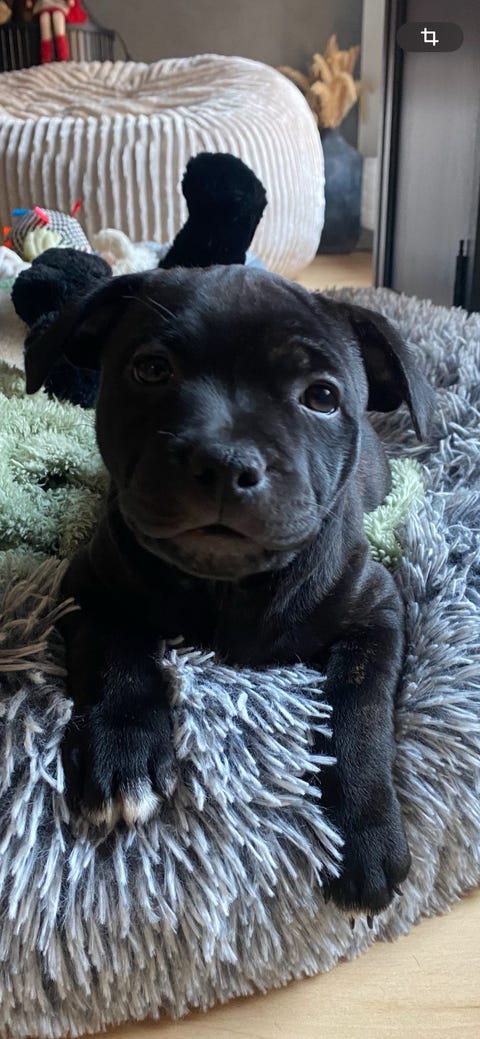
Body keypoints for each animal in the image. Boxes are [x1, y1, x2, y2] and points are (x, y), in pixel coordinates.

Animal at [24, 264, 434, 915]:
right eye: (152, 370)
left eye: (322, 397)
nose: (224, 461)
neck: (227, 586)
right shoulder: (89, 585)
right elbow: (114, 649)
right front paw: (123, 750)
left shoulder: (378, 613)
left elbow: (360, 710)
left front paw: (365, 831)